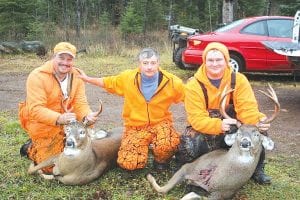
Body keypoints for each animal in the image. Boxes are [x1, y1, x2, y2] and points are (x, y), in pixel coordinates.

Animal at [146, 84, 280, 200]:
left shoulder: (219, 195)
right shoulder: (188, 167)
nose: (245, 143)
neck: (215, 178)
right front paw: (149, 175)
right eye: (238, 133)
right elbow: (162, 189)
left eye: (257, 134)